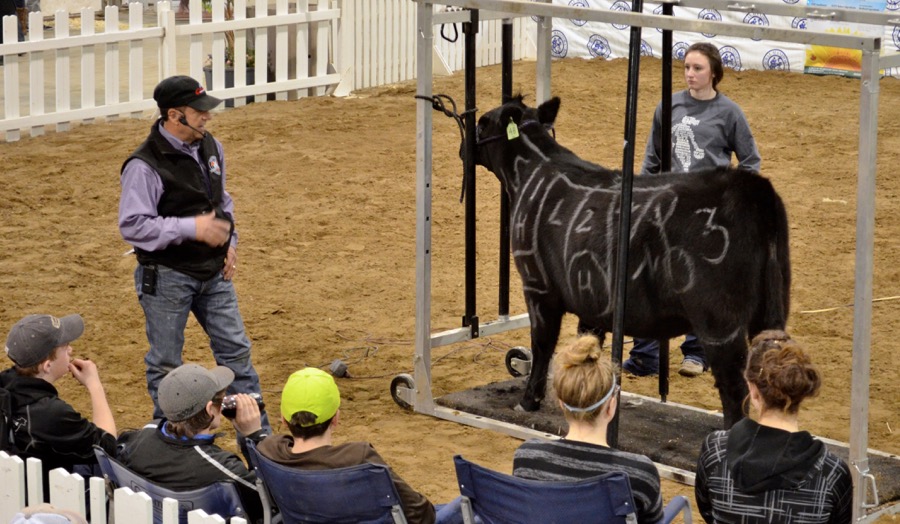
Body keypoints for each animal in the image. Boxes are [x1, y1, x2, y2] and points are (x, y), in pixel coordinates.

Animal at [469, 96, 790, 428]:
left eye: (482, 123)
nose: (465, 145)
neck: (534, 169)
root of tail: (754, 190)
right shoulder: (591, 297)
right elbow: (588, 350)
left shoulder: (538, 287)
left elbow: (542, 344)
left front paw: (528, 401)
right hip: (770, 311)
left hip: (719, 322)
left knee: (734, 387)